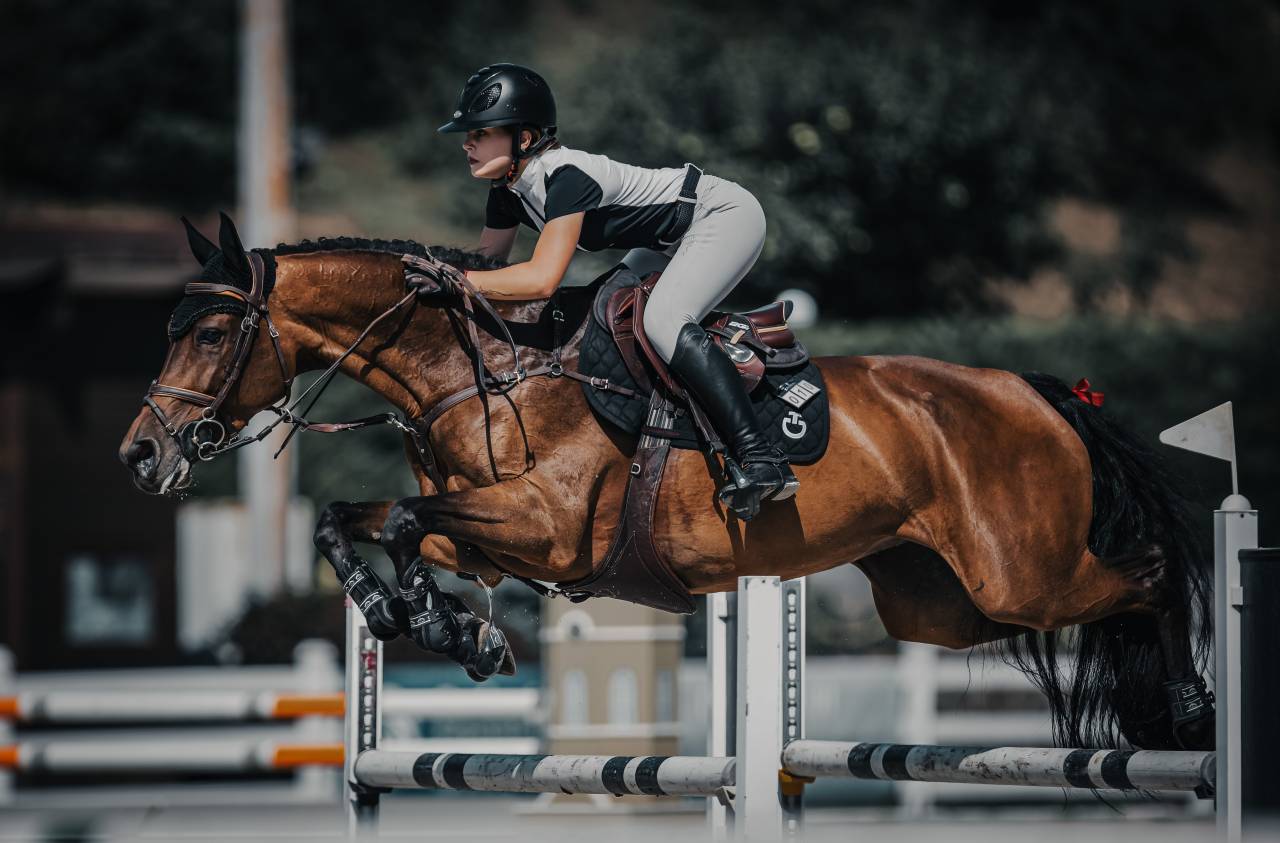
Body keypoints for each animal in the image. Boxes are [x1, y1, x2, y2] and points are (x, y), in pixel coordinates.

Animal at [119, 213, 1214, 752]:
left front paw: (435, 622)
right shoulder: (495, 533)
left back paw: (1193, 706)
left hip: (1020, 572)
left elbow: (396, 520)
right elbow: (365, 522)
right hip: (941, 604)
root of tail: (1036, 391)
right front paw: (437, 625)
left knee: (1156, 570)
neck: (480, 368)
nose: (141, 456)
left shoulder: (549, 525)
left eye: (207, 332)